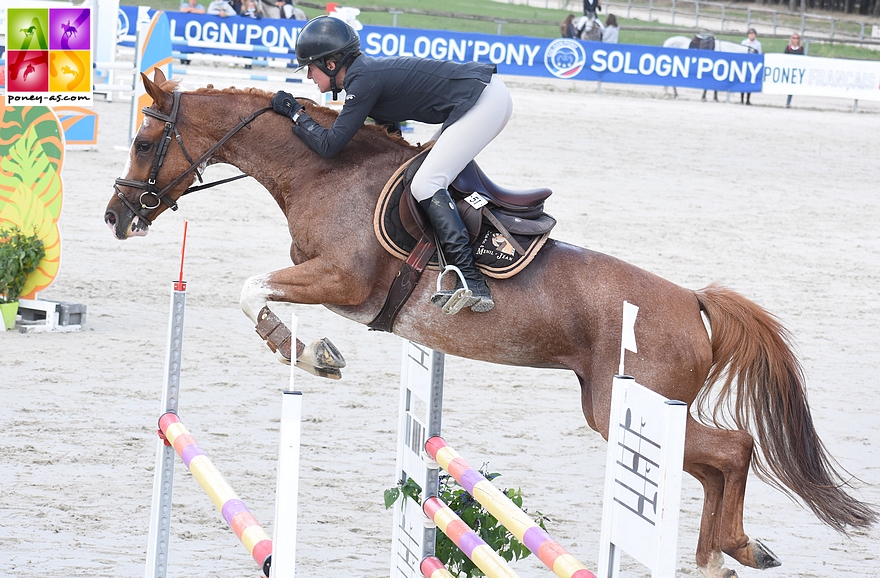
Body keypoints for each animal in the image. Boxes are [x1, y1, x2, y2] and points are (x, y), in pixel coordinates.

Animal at [101, 71, 872, 576]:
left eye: (142, 141)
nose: (115, 216)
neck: (325, 172)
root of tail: (692, 300)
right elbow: (255, 289)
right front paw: (307, 348)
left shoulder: (341, 280)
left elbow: (250, 288)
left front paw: (307, 350)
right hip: (626, 405)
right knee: (718, 463)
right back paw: (722, 555)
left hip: (625, 406)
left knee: (734, 449)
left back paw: (733, 549)